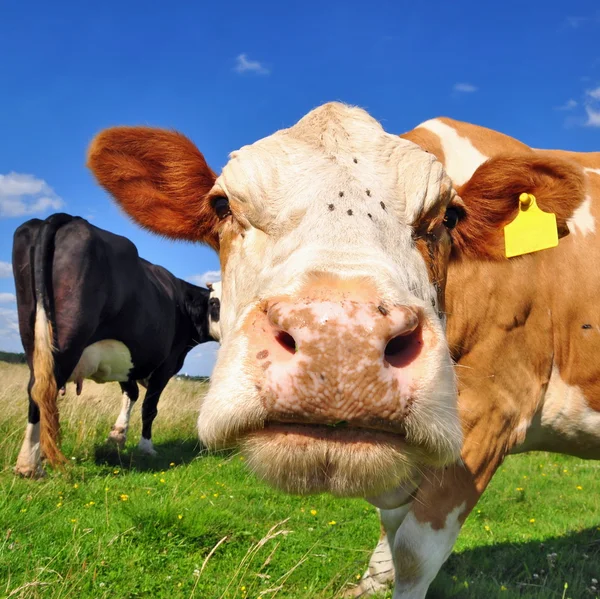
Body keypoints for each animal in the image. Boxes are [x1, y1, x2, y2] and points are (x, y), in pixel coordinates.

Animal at [12, 213, 219, 476]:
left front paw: (117, 436)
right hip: (67, 342)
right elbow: (149, 407)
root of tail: (68, 219)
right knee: (42, 388)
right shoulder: (166, 365)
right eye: (216, 303)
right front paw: (146, 447)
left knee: (35, 388)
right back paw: (30, 464)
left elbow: (131, 393)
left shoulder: (128, 358)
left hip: (32, 336)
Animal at [85, 105, 592, 599]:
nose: (341, 342)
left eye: (449, 217)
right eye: (222, 204)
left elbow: (415, 554)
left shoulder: (492, 413)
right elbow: (391, 527)